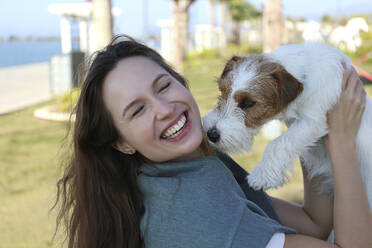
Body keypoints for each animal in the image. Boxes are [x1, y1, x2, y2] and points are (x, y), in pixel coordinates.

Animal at [203, 43, 372, 207]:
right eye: (222, 92)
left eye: (248, 103)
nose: (211, 134)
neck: (303, 73)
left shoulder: (313, 121)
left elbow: (278, 143)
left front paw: (262, 174)